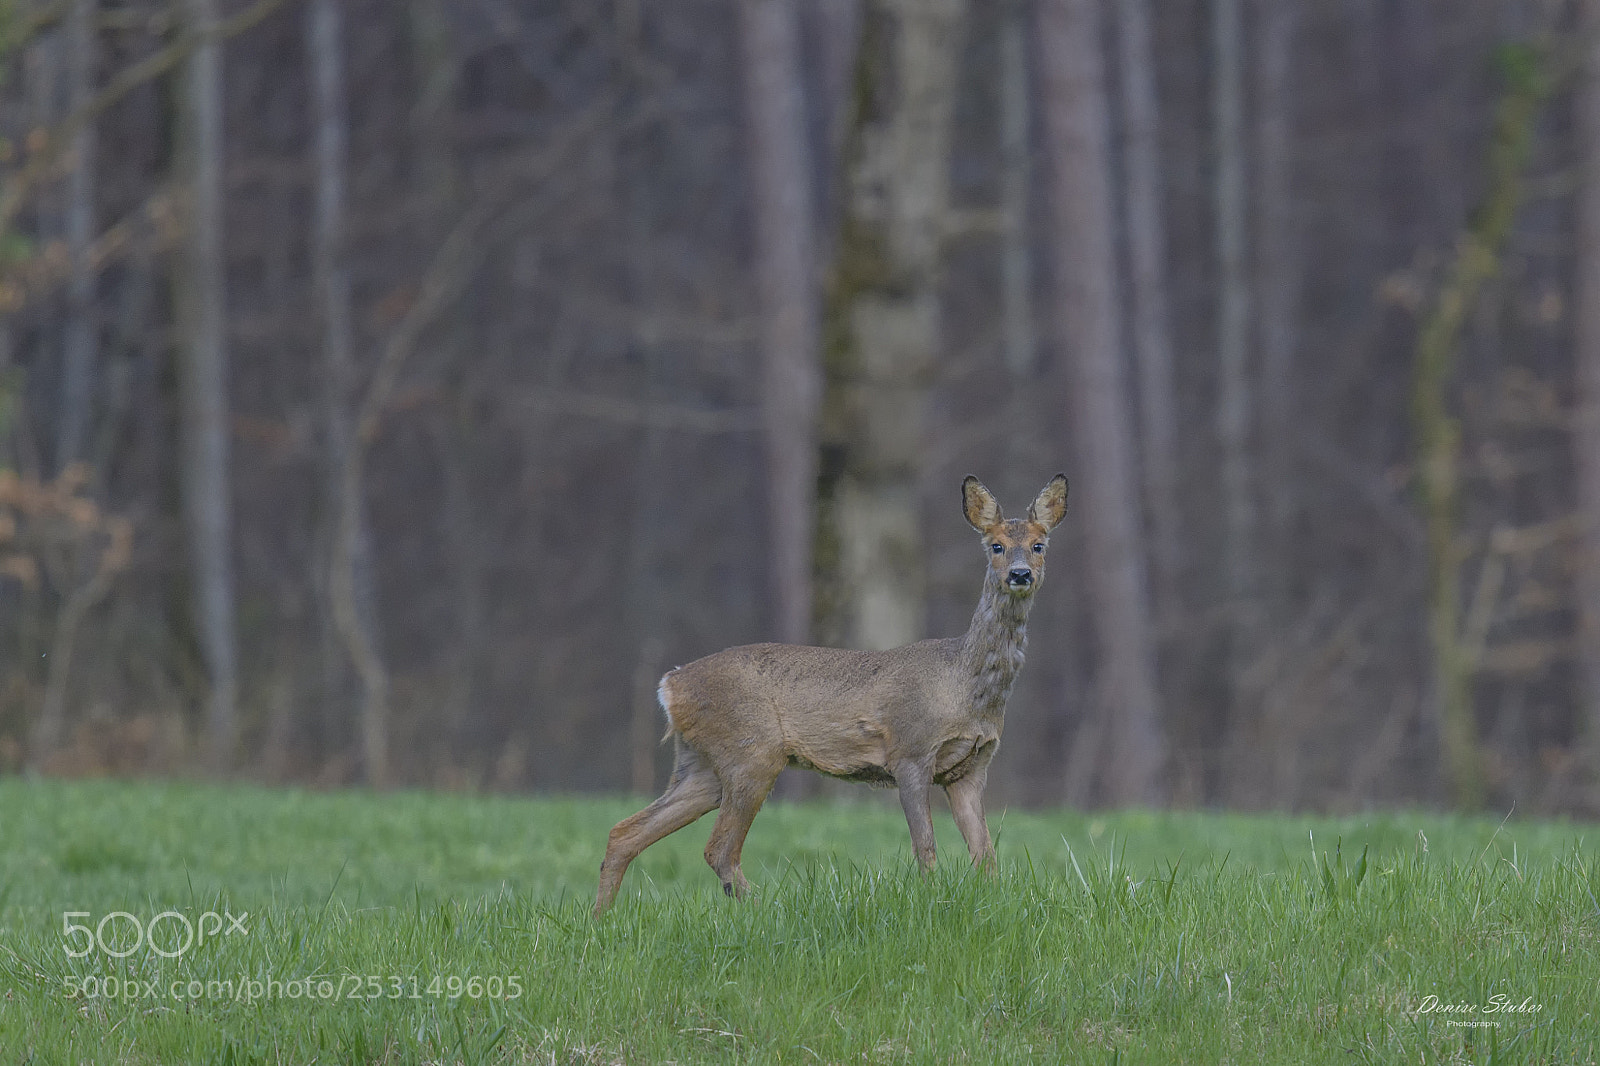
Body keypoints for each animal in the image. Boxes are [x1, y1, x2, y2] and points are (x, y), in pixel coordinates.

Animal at [593, 473, 1068, 916]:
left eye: (1039, 544)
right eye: (996, 545)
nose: (1020, 574)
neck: (964, 687)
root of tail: (669, 685)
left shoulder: (970, 768)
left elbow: (985, 855)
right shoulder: (910, 751)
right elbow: (926, 848)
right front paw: (933, 900)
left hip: (702, 764)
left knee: (625, 832)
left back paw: (600, 921)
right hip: (752, 751)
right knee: (718, 849)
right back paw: (767, 912)